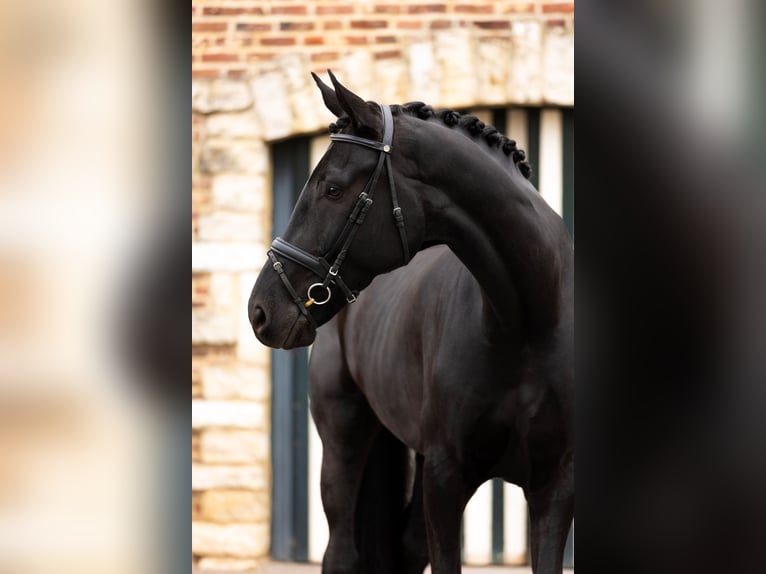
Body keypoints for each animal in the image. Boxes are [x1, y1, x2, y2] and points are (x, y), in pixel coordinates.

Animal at [249, 73, 572, 574]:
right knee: (340, 553)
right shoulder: (446, 478)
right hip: (343, 438)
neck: (527, 324)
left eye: (333, 189)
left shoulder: (553, 486)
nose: (261, 310)